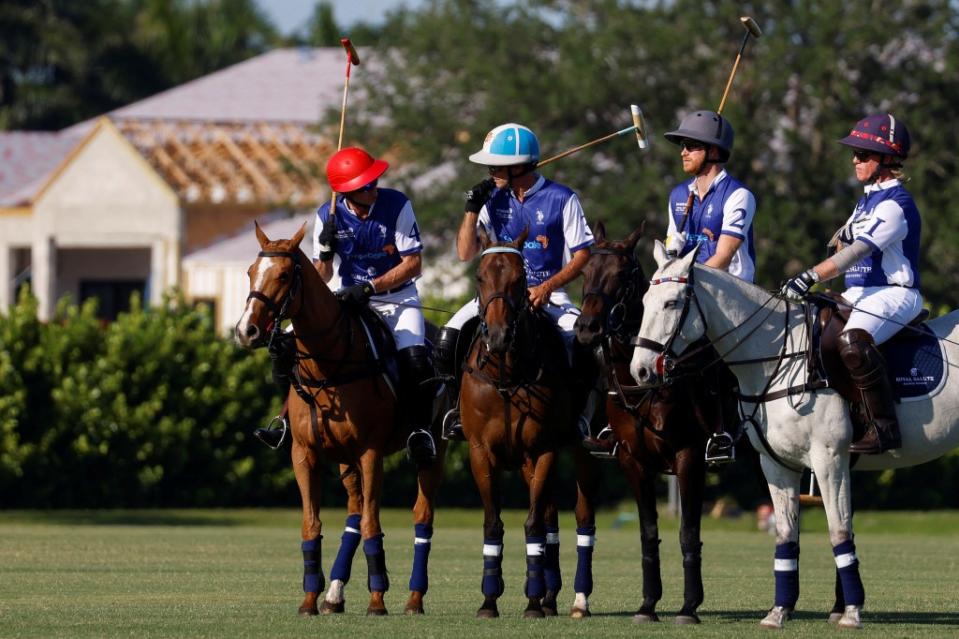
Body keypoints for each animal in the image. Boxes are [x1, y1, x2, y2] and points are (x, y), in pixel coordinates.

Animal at [234, 225, 448, 620]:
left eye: (283, 275)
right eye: (250, 272)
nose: (247, 331)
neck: (327, 367)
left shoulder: (370, 453)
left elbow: (372, 523)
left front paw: (377, 600)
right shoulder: (304, 454)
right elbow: (312, 523)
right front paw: (309, 599)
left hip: (434, 450)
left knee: (421, 514)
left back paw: (414, 598)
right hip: (345, 460)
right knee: (352, 511)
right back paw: (334, 594)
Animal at [460, 229, 600, 620]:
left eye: (520, 280)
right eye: (480, 277)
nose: (497, 336)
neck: (507, 375)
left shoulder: (543, 449)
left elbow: (533, 523)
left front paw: (533, 601)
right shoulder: (480, 452)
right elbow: (494, 522)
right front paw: (489, 600)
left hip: (580, 452)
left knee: (581, 516)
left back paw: (574, 599)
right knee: (551, 514)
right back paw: (552, 596)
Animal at [576, 221, 736, 624]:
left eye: (622, 275)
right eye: (585, 272)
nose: (587, 328)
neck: (642, 389)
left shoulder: (689, 456)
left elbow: (687, 532)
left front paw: (689, 606)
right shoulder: (632, 461)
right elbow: (648, 532)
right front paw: (648, 604)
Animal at [632, 242, 959, 632]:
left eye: (671, 303)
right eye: (645, 300)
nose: (640, 370)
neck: (779, 358)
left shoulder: (829, 458)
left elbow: (839, 532)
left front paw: (851, 612)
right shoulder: (776, 464)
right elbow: (786, 535)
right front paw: (778, 612)